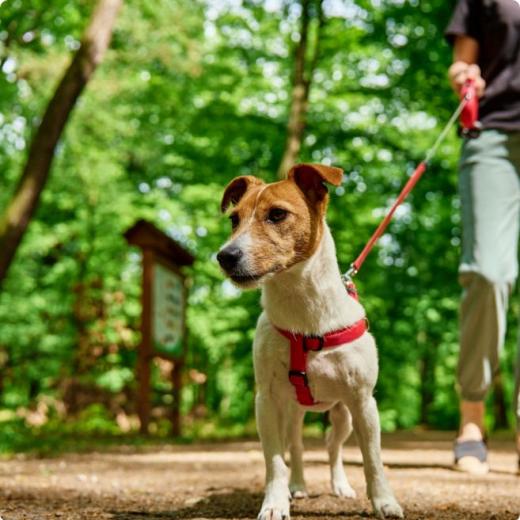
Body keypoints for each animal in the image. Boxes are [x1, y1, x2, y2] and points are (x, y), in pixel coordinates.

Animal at [215, 164, 402, 520]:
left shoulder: (363, 403)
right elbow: (275, 462)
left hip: (343, 415)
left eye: (277, 214)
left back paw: (340, 485)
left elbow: (373, 460)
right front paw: (275, 503)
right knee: (298, 446)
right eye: (234, 219)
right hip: (292, 412)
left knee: (333, 446)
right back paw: (298, 485)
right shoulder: (266, 402)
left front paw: (385, 501)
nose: (224, 256)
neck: (304, 316)